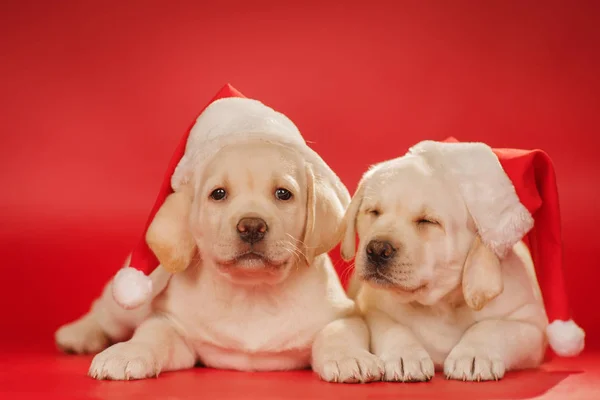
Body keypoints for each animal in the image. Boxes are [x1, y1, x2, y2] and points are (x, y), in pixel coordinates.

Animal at [54, 97, 382, 382]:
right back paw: (78, 334)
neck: (252, 295)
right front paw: (127, 353)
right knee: (104, 312)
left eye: (283, 194)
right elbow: (152, 334)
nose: (252, 226)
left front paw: (350, 357)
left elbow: (339, 331)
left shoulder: (342, 314)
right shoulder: (171, 325)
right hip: (127, 300)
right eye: (218, 194)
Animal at [338, 141, 556, 382]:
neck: (440, 306)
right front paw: (404, 355)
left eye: (427, 221)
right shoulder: (371, 309)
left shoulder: (531, 325)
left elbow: (492, 327)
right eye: (373, 212)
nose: (377, 249)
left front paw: (473, 354)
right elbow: (391, 327)